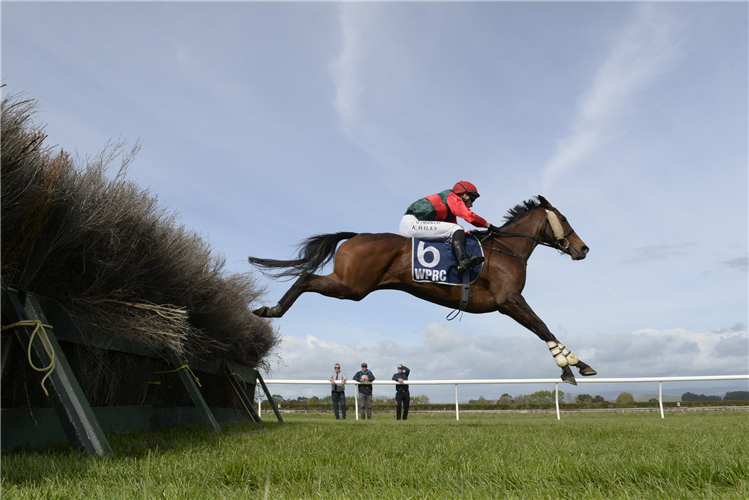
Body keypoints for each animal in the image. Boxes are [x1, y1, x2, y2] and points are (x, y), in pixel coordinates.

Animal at [250, 194, 596, 382]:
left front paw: (576, 365)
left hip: (352, 285)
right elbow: (542, 327)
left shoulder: (509, 302)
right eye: (564, 218)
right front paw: (572, 365)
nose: (583, 248)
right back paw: (272, 309)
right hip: (352, 285)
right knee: (306, 278)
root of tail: (356, 235)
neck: (507, 250)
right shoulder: (508, 300)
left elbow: (542, 328)